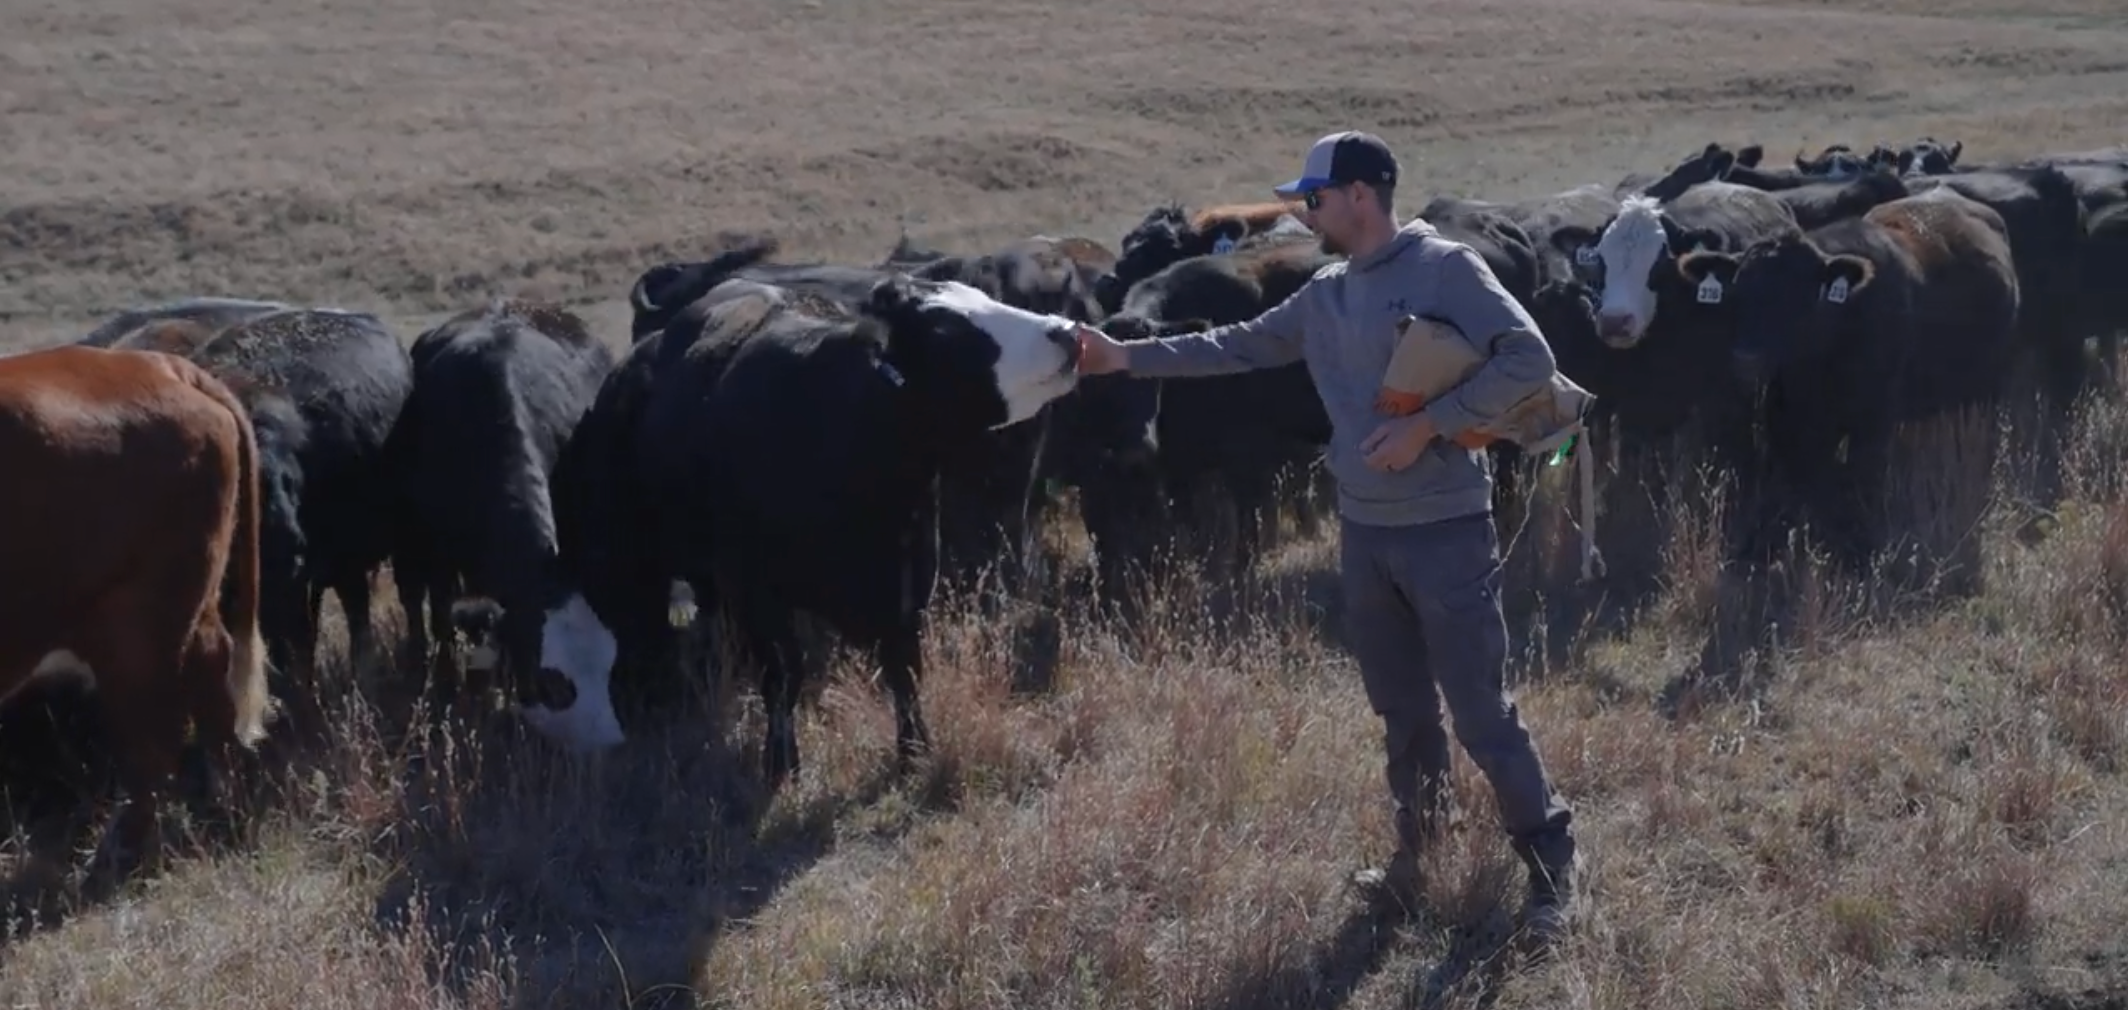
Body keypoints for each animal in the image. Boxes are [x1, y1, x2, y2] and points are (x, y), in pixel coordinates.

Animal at [0, 344, 273, 877]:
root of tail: (156, 363)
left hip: (139, 622)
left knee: (155, 737)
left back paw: (120, 852)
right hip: (185, 606)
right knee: (209, 684)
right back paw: (221, 811)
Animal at [383, 298, 620, 746]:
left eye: (610, 662)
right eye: (552, 683)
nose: (614, 746)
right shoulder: (434, 550)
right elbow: (441, 617)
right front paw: (448, 685)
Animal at [547, 269, 1087, 783]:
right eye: (946, 328)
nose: (1066, 334)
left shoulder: (907, 579)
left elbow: (904, 670)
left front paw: (914, 751)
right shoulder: (756, 590)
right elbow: (783, 673)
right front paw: (781, 761)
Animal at [1675, 187, 2021, 583]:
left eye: (1800, 297)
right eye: (1737, 292)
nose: (1747, 358)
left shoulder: (1871, 423)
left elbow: (1857, 486)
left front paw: (1859, 558)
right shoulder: (1788, 425)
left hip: (1987, 390)